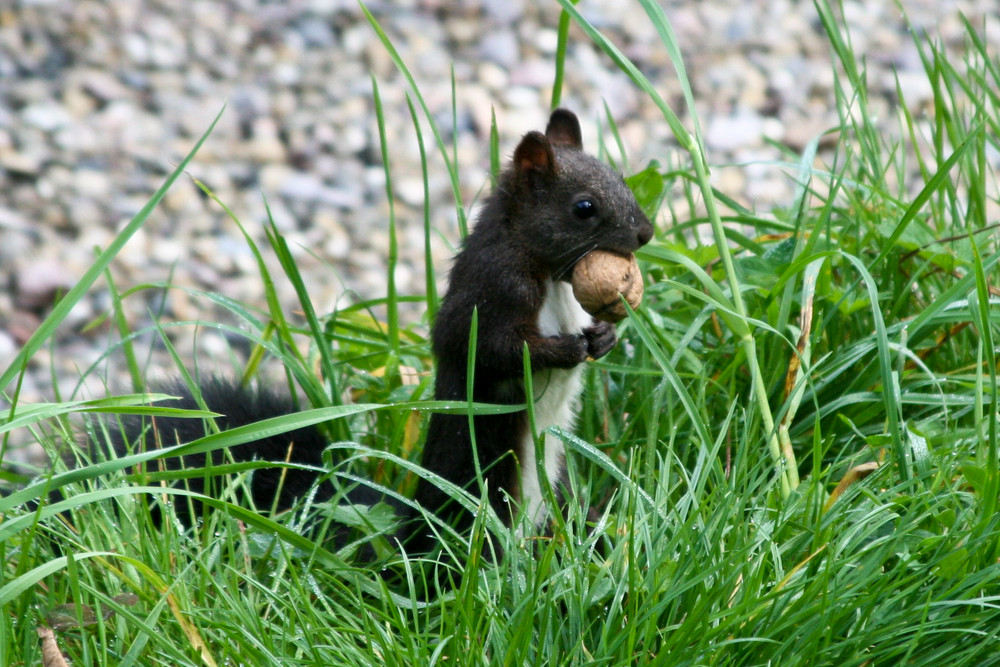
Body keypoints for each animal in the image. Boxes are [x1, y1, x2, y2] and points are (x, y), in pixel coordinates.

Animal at [80, 109, 656, 556]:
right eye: (584, 208)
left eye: (623, 180)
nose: (647, 232)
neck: (552, 278)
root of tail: (404, 540)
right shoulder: (491, 293)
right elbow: (494, 350)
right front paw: (563, 349)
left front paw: (602, 338)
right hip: (483, 504)